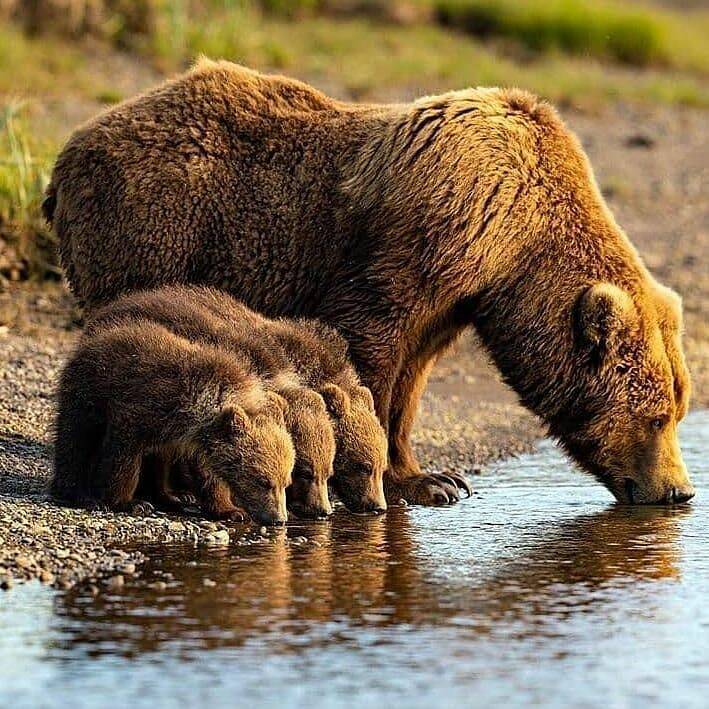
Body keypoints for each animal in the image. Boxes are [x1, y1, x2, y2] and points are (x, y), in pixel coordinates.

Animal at [44, 59, 692, 504]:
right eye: (657, 416)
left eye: (678, 409)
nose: (679, 491)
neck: (514, 243)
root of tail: (73, 146)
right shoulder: (429, 233)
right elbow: (371, 341)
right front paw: (391, 475)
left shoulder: (454, 296)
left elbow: (413, 376)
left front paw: (432, 475)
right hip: (158, 226)